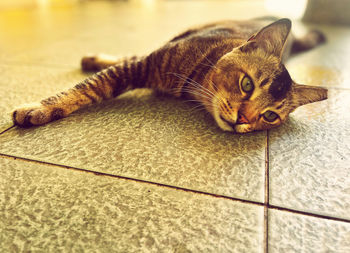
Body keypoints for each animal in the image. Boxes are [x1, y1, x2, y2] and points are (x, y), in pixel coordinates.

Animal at [11, 17, 328, 134]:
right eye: (247, 84)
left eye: (270, 116)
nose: (243, 119)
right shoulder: (143, 66)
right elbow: (89, 87)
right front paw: (40, 108)